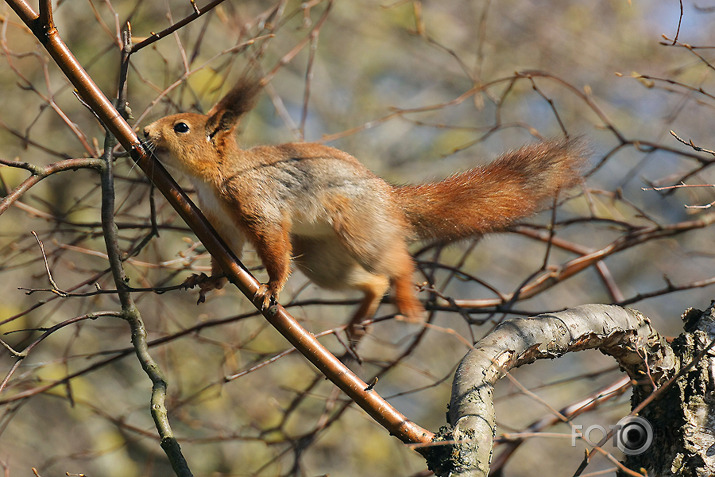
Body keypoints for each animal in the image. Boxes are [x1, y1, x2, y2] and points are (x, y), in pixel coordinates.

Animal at [144, 79, 588, 334]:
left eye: (181, 127)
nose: (146, 130)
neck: (215, 176)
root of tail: (388, 197)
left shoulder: (256, 201)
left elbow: (273, 245)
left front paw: (271, 288)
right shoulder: (219, 222)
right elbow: (225, 255)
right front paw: (212, 281)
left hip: (359, 230)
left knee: (398, 263)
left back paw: (406, 300)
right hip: (321, 257)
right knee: (372, 281)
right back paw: (363, 314)